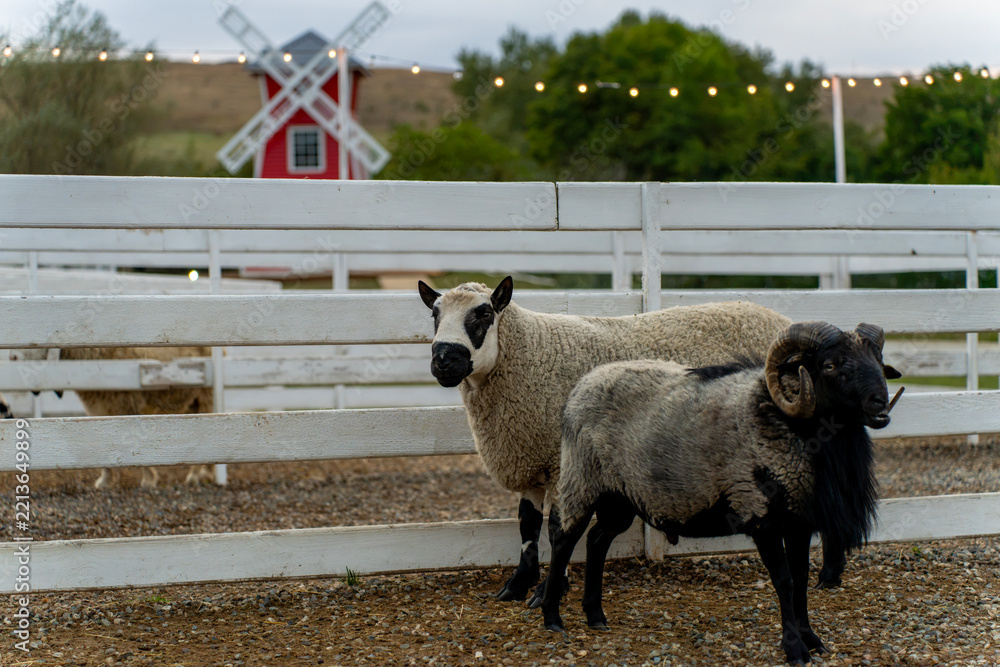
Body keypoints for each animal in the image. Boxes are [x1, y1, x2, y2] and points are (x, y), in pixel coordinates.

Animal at [8, 346, 215, 489]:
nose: (12, 357)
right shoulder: (100, 409)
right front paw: (105, 481)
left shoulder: (126, 406)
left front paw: (148, 479)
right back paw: (205, 473)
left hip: (206, 397)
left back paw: (197, 475)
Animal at [417, 276, 800, 604]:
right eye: (435, 314)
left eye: (483, 313)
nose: (444, 360)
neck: (528, 355)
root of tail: (780, 320)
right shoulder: (529, 456)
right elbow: (527, 523)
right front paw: (517, 585)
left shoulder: (563, 459)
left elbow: (558, 527)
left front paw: (548, 590)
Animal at [540, 321, 900, 665]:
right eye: (830, 364)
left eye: (878, 359)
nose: (880, 404)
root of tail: (582, 385)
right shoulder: (760, 515)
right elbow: (784, 582)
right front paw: (795, 649)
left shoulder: (799, 522)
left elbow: (800, 579)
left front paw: (812, 639)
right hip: (581, 481)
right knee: (564, 539)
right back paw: (552, 618)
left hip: (619, 498)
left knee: (597, 541)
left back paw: (595, 616)